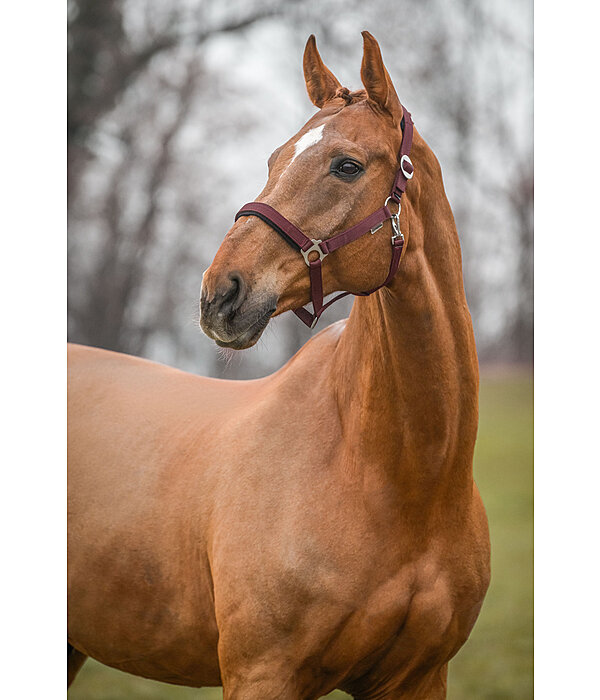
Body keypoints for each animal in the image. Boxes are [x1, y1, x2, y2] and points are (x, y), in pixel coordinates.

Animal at [68, 32, 490, 700]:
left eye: (347, 165)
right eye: (273, 160)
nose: (220, 294)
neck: (395, 478)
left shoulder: (418, 678)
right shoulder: (263, 674)